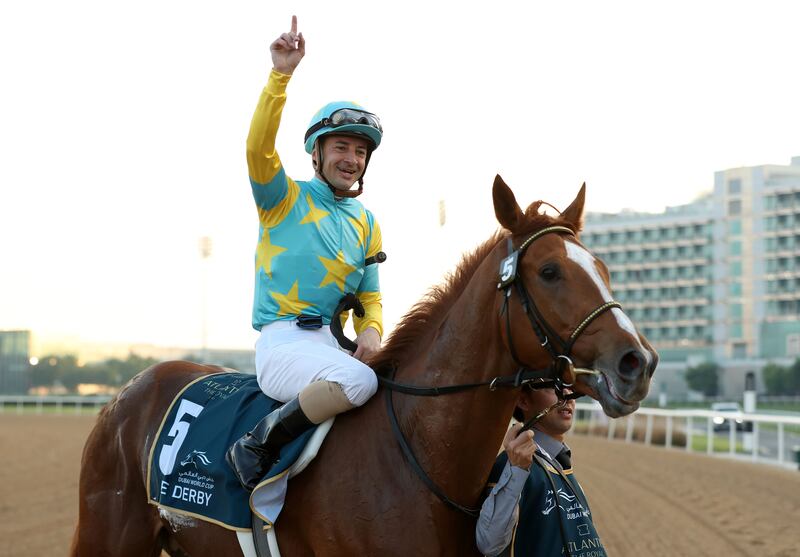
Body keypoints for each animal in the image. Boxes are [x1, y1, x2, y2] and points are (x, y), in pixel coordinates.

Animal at [70, 177, 656, 556]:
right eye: (550, 271)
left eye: (602, 268)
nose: (638, 361)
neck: (419, 457)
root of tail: (130, 389)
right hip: (108, 537)